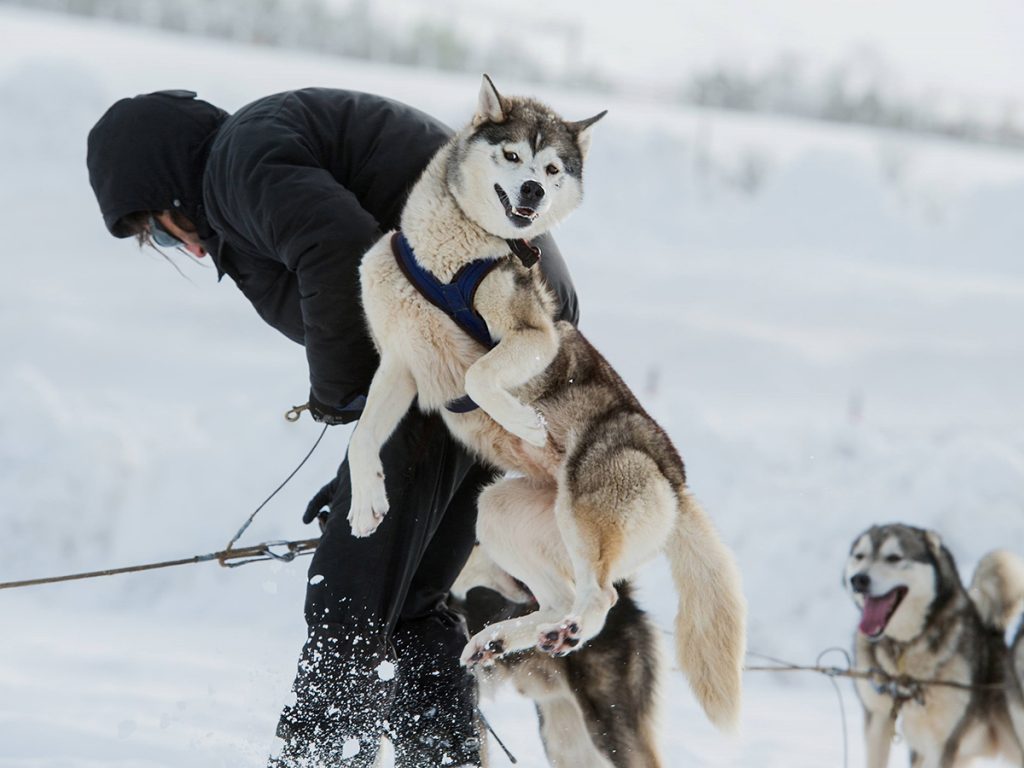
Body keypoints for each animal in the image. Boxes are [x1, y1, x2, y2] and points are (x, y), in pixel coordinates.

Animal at [344, 75, 745, 729]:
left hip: (586, 514)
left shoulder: (534, 335)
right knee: (557, 596)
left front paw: (524, 422)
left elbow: (480, 373)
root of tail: (674, 479)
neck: (445, 259)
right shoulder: (401, 364)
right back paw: (505, 637)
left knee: (599, 596)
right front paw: (367, 504)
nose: (533, 187)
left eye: (552, 168)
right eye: (513, 155)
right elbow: (362, 437)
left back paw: (570, 629)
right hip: (501, 512)